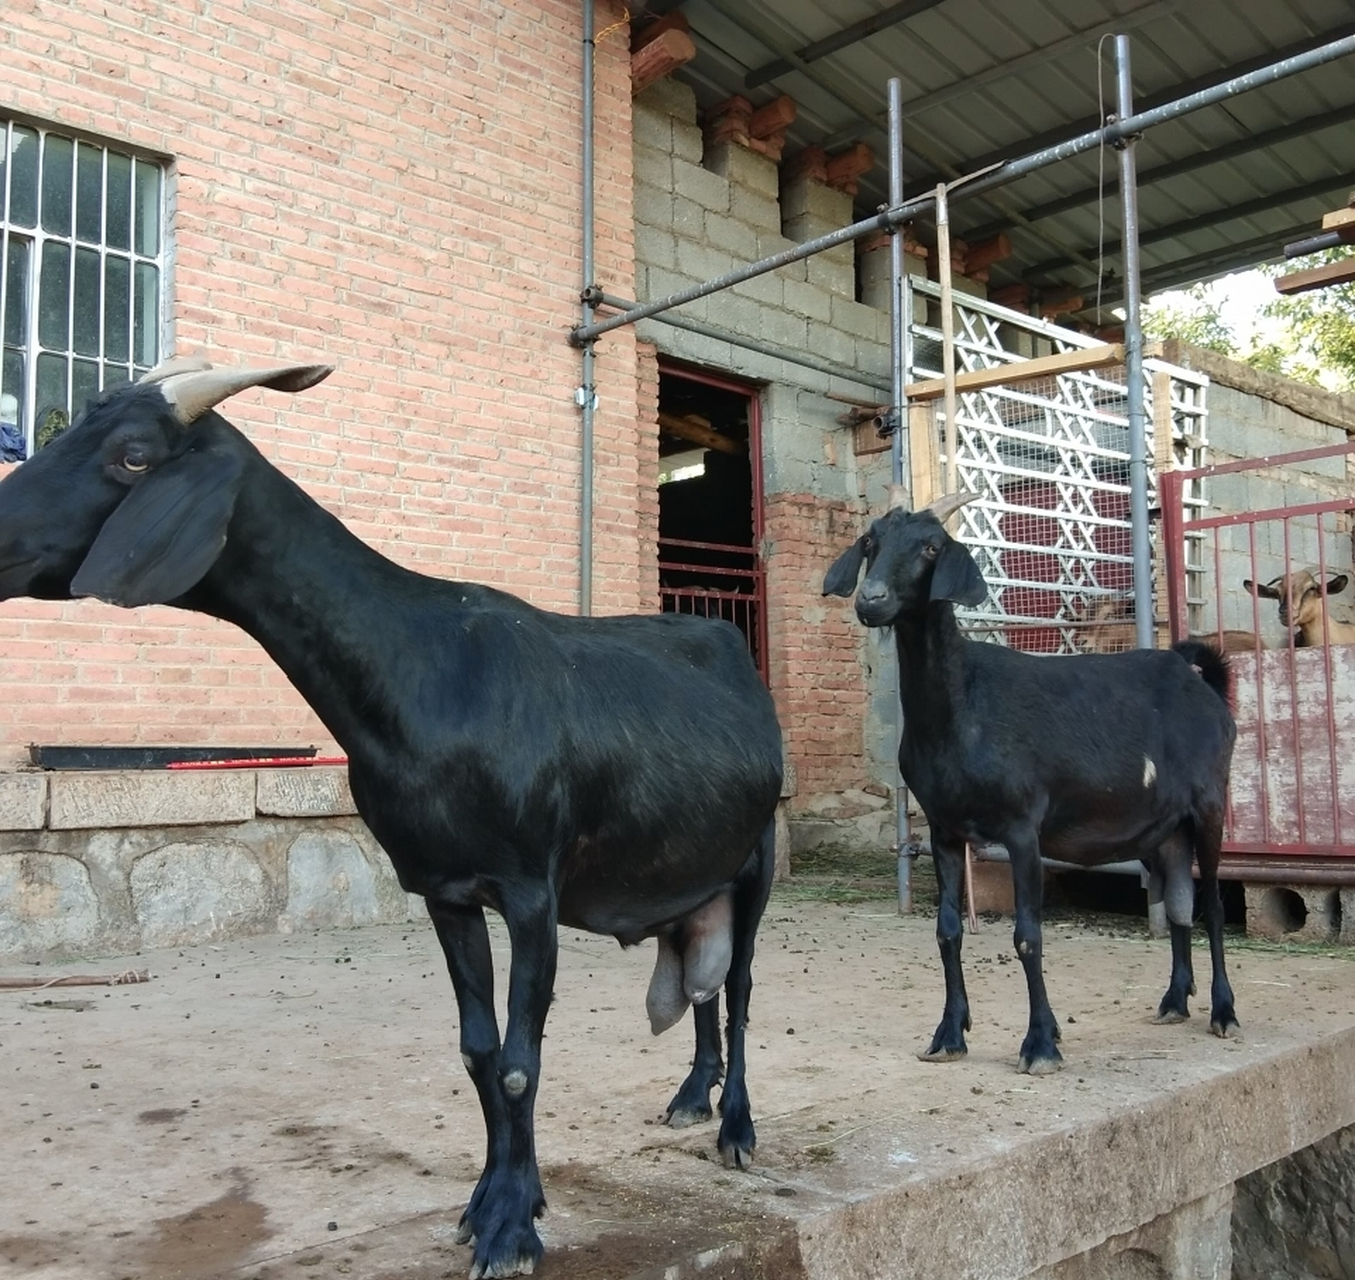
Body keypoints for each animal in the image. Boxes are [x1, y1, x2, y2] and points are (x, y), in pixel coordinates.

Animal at [0, 360, 785, 1278]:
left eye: (132, 456)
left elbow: (519, 1062)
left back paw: (735, 1126)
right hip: (687, 871)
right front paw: (489, 1201)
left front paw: (511, 1227)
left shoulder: (532, 888)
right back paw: (692, 1094)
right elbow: (480, 1053)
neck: (424, 669)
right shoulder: (445, 890)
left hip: (755, 857)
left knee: (739, 986)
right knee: (697, 976)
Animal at [823, 495, 1241, 1072]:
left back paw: (1224, 1012)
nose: (872, 599)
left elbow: (1028, 936)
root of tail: (1202, 685)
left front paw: (1041, 1042)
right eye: (870, 543)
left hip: (1209, 804)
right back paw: (1176, 1000)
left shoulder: (1022, 828)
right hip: (1161, 828)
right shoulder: (944, 830)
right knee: (1178, 901)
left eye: (931, 547)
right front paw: (948, 1035)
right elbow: (947, 932)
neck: (963, 704)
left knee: (1213, 905)